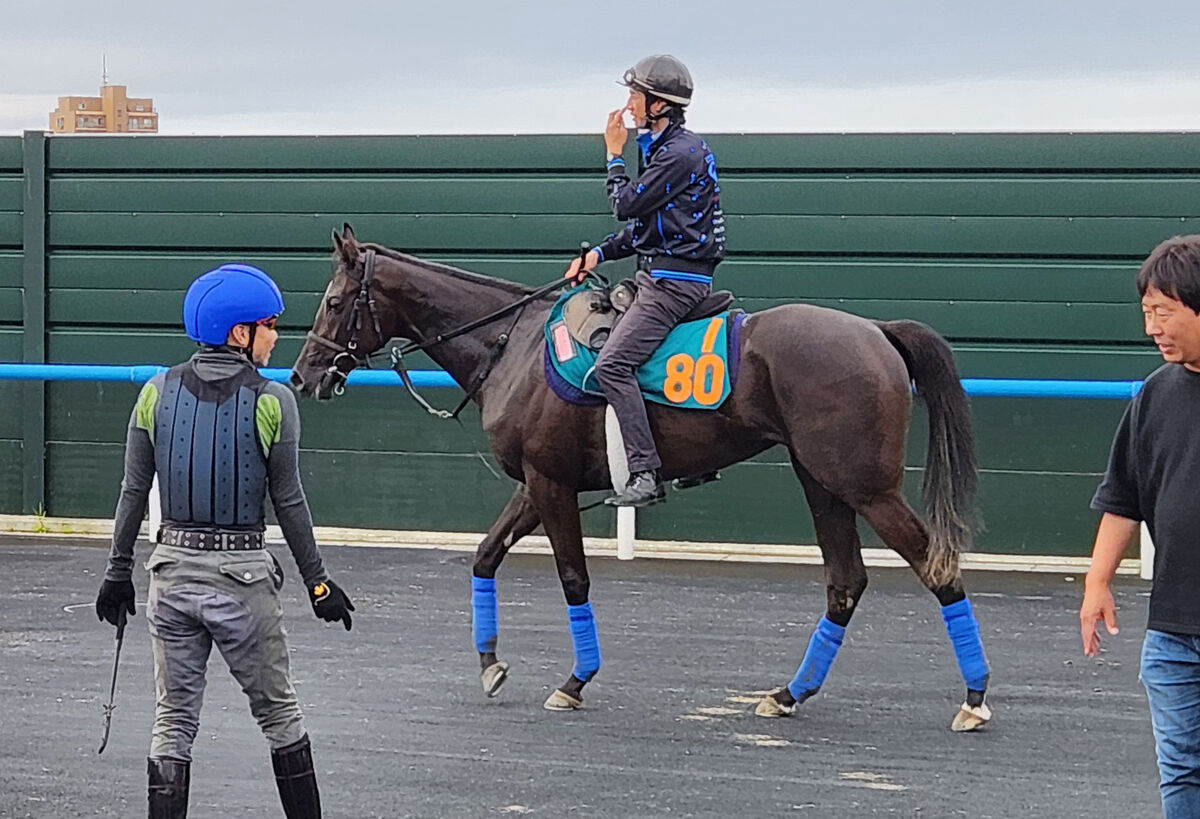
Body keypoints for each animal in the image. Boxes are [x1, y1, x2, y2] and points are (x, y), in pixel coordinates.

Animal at [290, 224, 993, 734]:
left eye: (333, 302)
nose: (303, 376)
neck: (513, 345)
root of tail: (875, 330)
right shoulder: (535, 485)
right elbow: (485, 557)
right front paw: (490, 665)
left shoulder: (551, 485)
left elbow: (573, 578)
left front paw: (575, 682)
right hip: (822, 482)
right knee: (845, 582)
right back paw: (790, 694)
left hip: (865, 487)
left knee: (935, 565)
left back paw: (975, 696)